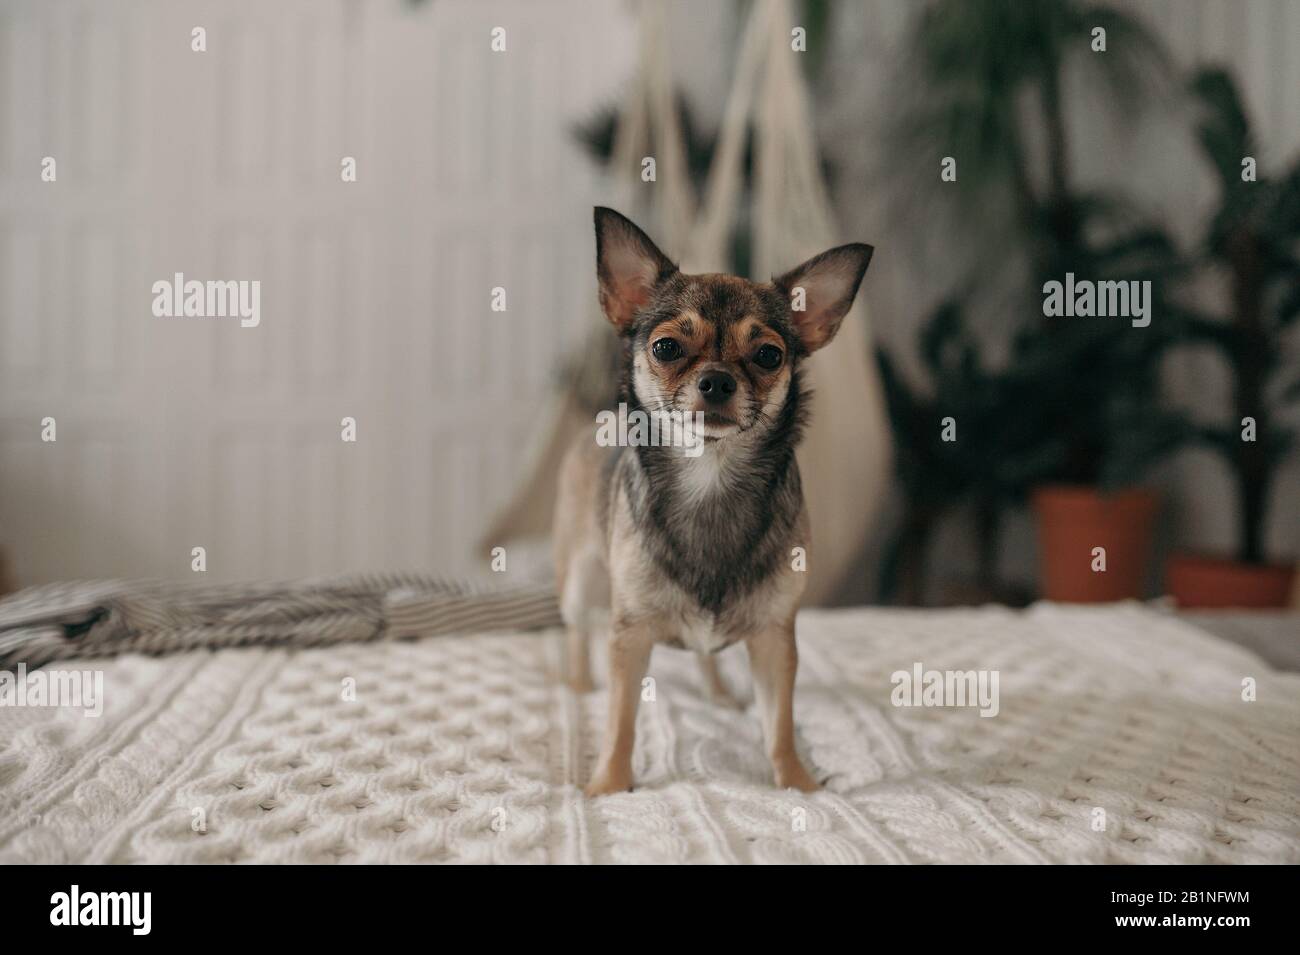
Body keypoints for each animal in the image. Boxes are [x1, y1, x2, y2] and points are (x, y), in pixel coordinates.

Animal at [556, 209, 873, 800]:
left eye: (769, 355)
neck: (711, 477)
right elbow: (621, 722)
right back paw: (580, 685)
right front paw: (608, 786)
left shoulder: (775, 640)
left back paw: (720, 694)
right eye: (666, 349)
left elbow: (779, 726)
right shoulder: (629, 636)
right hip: (579, 579)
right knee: (578, 632)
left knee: (704, 653)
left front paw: (799, 785)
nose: (718, 380)